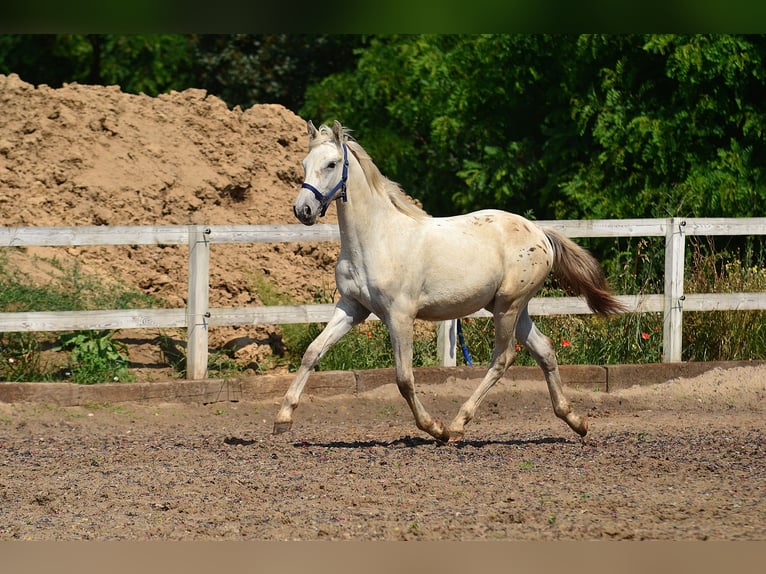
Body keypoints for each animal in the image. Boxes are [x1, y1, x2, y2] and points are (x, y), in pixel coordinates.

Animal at [274, 121, 624, 444]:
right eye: (305, 163)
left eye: (332, 164)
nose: (303, 210)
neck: (376, 238)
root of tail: (541, 233)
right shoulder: (352, 307)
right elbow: (312, 352)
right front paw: (283, 418)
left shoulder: (399, 316)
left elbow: (404, 378)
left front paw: (434, 428)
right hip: (513, 308)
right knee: (545, 350)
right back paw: (575, 421)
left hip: (508, 307)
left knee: (503, 358)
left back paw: (457, 424)